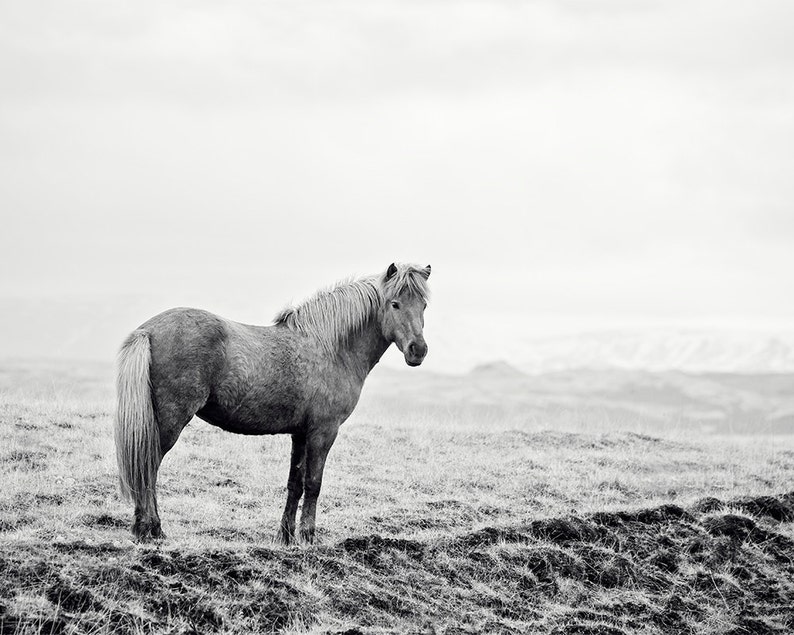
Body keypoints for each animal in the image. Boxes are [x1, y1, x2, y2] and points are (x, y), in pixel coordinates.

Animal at [114, 260, 430, 544]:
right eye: (394, 304)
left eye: (424, 305)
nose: (418, 350)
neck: (331, 348)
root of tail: (148, 331)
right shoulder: (323, 432)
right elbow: (313, 483)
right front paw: (308, 537)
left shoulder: (300, 433)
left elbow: (295, 484)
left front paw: (286, 536)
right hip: (170, 421)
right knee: (149, 467)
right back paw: (148, 530)